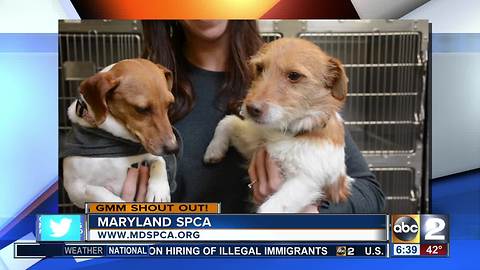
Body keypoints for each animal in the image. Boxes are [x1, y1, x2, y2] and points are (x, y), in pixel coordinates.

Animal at [62, 58, 177, 209]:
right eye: (141, 109)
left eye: (170, 104)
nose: (174, 148)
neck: (114, 139)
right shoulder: (74, 188)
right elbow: (100, 193)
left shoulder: (151, 155)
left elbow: (159, 162)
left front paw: (159, 192)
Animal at [203, 37, 352, 213]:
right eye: (259, 68)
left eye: (294, 75)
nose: (251, 108)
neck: (287, 133)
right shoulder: (253, 146)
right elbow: (227, 121)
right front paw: (214, 150)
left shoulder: (306, 180)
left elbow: (268, 209)